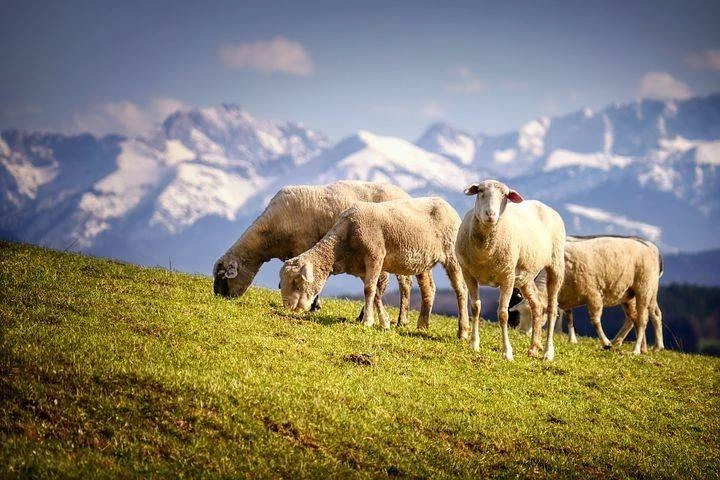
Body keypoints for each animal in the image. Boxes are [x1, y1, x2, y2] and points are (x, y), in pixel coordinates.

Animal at [211, 180, 420, 326]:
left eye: (223, 277)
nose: (219, 298)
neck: (268, 236)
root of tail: (407, 195)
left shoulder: (304, 244)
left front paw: (313, 306)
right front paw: (314, 305)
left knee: (403, 284)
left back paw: (399, 320)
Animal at [280, 196, 472, 338]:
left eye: (297, 283)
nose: (288, 306)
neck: (342, 245)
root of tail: (447, 205)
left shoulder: (375, 256)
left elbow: (369, 290)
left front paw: (367, 322)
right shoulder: (361, 267)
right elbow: (376, 292)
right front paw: (385, 322)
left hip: (452, 255)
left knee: (461, 290)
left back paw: (462, 332)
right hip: (423, 261)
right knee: (429, 289)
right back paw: (422, 326)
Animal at [456, 180, 568, 360]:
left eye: (505, 195)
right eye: (480, 191)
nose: (491, 214)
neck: (485, 252)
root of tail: (544, 205)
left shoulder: (507, 277)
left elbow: (503, 314)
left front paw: (507, 352)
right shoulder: (468, 274)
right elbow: (475, 307)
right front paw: (474, 344)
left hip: (556, 265)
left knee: (552, 308)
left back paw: (548, 352)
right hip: (525, 275)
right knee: (537, 305)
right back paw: (533, 348)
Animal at [510, 234, 668, 354]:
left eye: (533, 316)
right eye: (519, 313)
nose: (521, 332)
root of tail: (650, 247)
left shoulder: (593, 294)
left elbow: (595, 321)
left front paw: (605, 342)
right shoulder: (565, 296)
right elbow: (569, 317)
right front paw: (571, 338)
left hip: (645, 289)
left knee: (645, 318)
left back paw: (639, 349)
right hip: (628, 294)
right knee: (634, 318)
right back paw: (638, 347)